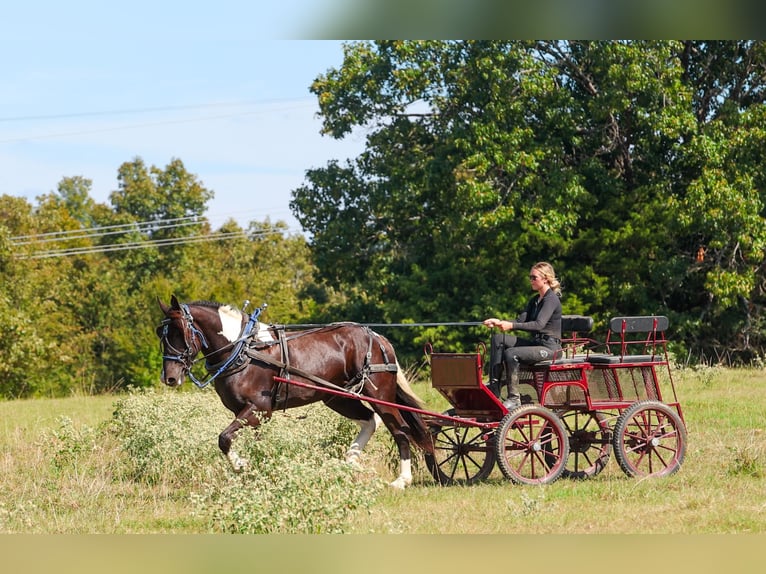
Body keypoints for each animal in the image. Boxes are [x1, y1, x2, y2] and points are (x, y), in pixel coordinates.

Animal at [156, 295, 434, 489]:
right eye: (161, 333)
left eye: (181, 331)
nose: (170, 377)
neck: (243, 350)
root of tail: (377, 337)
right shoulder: (252, 415)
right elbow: (254, 444)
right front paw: (256, 473)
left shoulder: (257, 409)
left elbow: (223, 439)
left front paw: (242, 466)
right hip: (337, 397)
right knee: (369, 421)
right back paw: (348, 463)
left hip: (379, 394)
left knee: (400, 429)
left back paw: (401, 480)